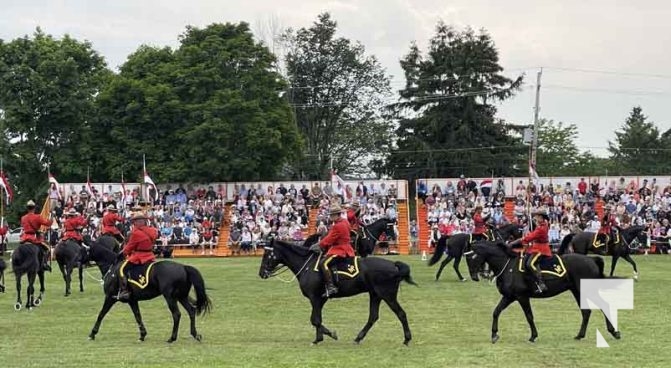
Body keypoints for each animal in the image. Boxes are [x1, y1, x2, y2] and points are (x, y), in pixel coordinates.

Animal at [260, 237, 418, 346]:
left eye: (267, 254)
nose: (261, 273)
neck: (307, 266)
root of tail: (394, 265)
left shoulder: (315, 298)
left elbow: (315, 320)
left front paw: (329, 335)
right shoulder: (320, 299)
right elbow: (316, 319)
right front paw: (319, 338)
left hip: (387, 295)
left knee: (401, 314)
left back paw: (407, 339)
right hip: (375, 295)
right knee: (373, 317)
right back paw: (358, 338)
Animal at [468, 243, 620, 344]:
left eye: (473, 257)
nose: (475, 277)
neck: (508, 266)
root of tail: (591, 259)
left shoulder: (522, 297)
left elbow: (529, 316)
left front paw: (533, 336)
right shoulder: (509, 297)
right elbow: (496, 312)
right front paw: (494, 335)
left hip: (587, 290)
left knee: (603, 306)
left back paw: (614, 332)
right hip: (577, 291)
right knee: (586, 312)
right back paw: (580, 335)